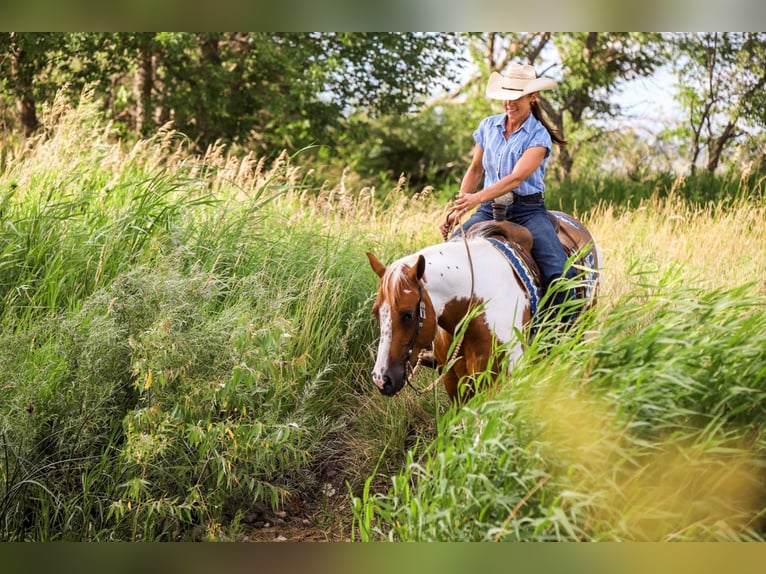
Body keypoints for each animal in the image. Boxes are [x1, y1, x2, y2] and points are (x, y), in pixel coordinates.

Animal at [368, 212, 604, 404]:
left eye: (408, 314)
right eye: (376, 312)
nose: (381, 379)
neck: (471, 309)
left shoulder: (496, 381)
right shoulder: (454, 382)